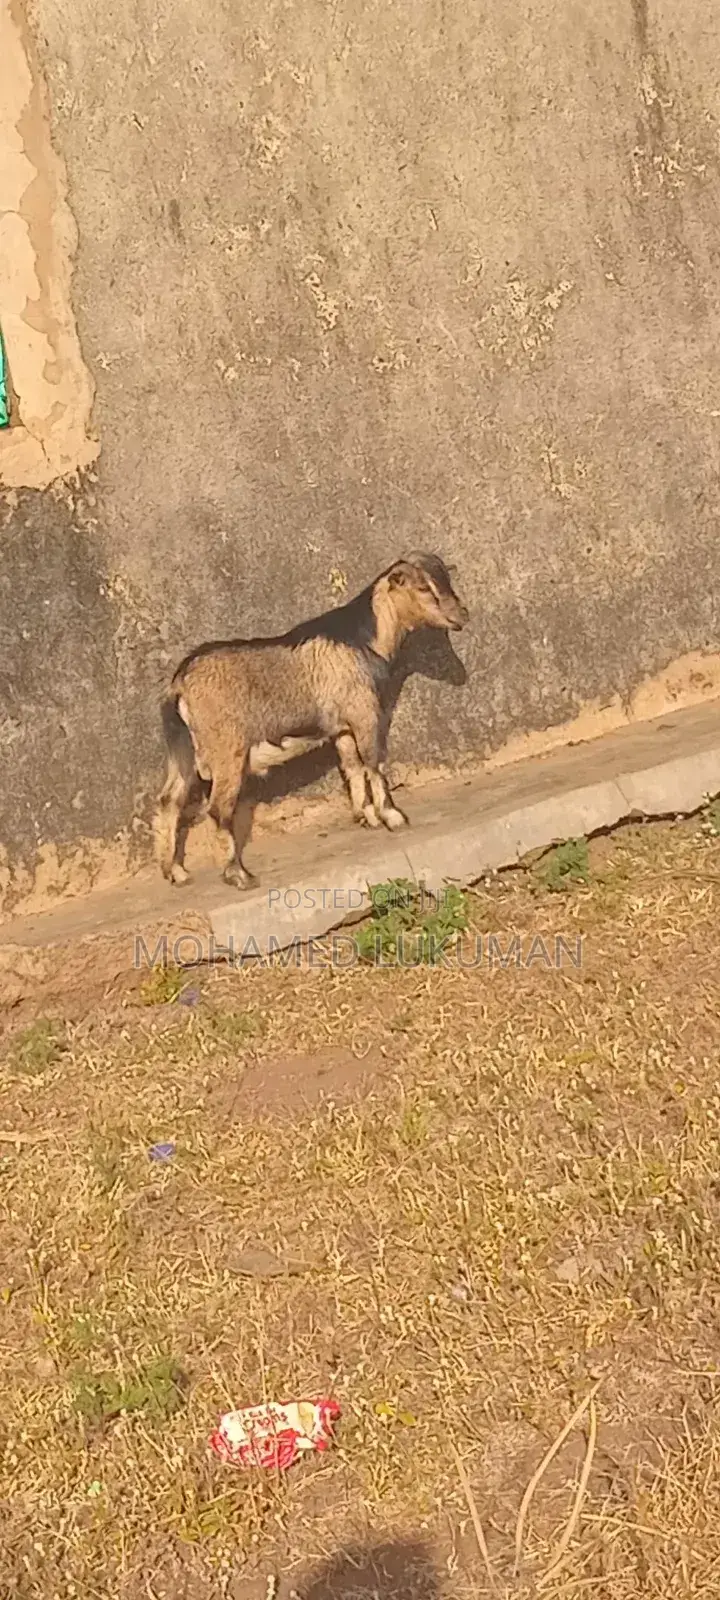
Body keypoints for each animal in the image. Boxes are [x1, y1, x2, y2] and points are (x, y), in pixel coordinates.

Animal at [154, 552, 468, 890]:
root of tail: (180, 684)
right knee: (217, 808)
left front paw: (367, 817)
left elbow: (353, 768)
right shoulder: (364, 713)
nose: (462, 615)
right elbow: (374, 763)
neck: (363, 639)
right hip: (227, 750)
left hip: (184, 750)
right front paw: (394, 817)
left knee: (169, 801)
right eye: (423, 587)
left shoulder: (342, 728)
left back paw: (176, 872)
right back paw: (239, 874)